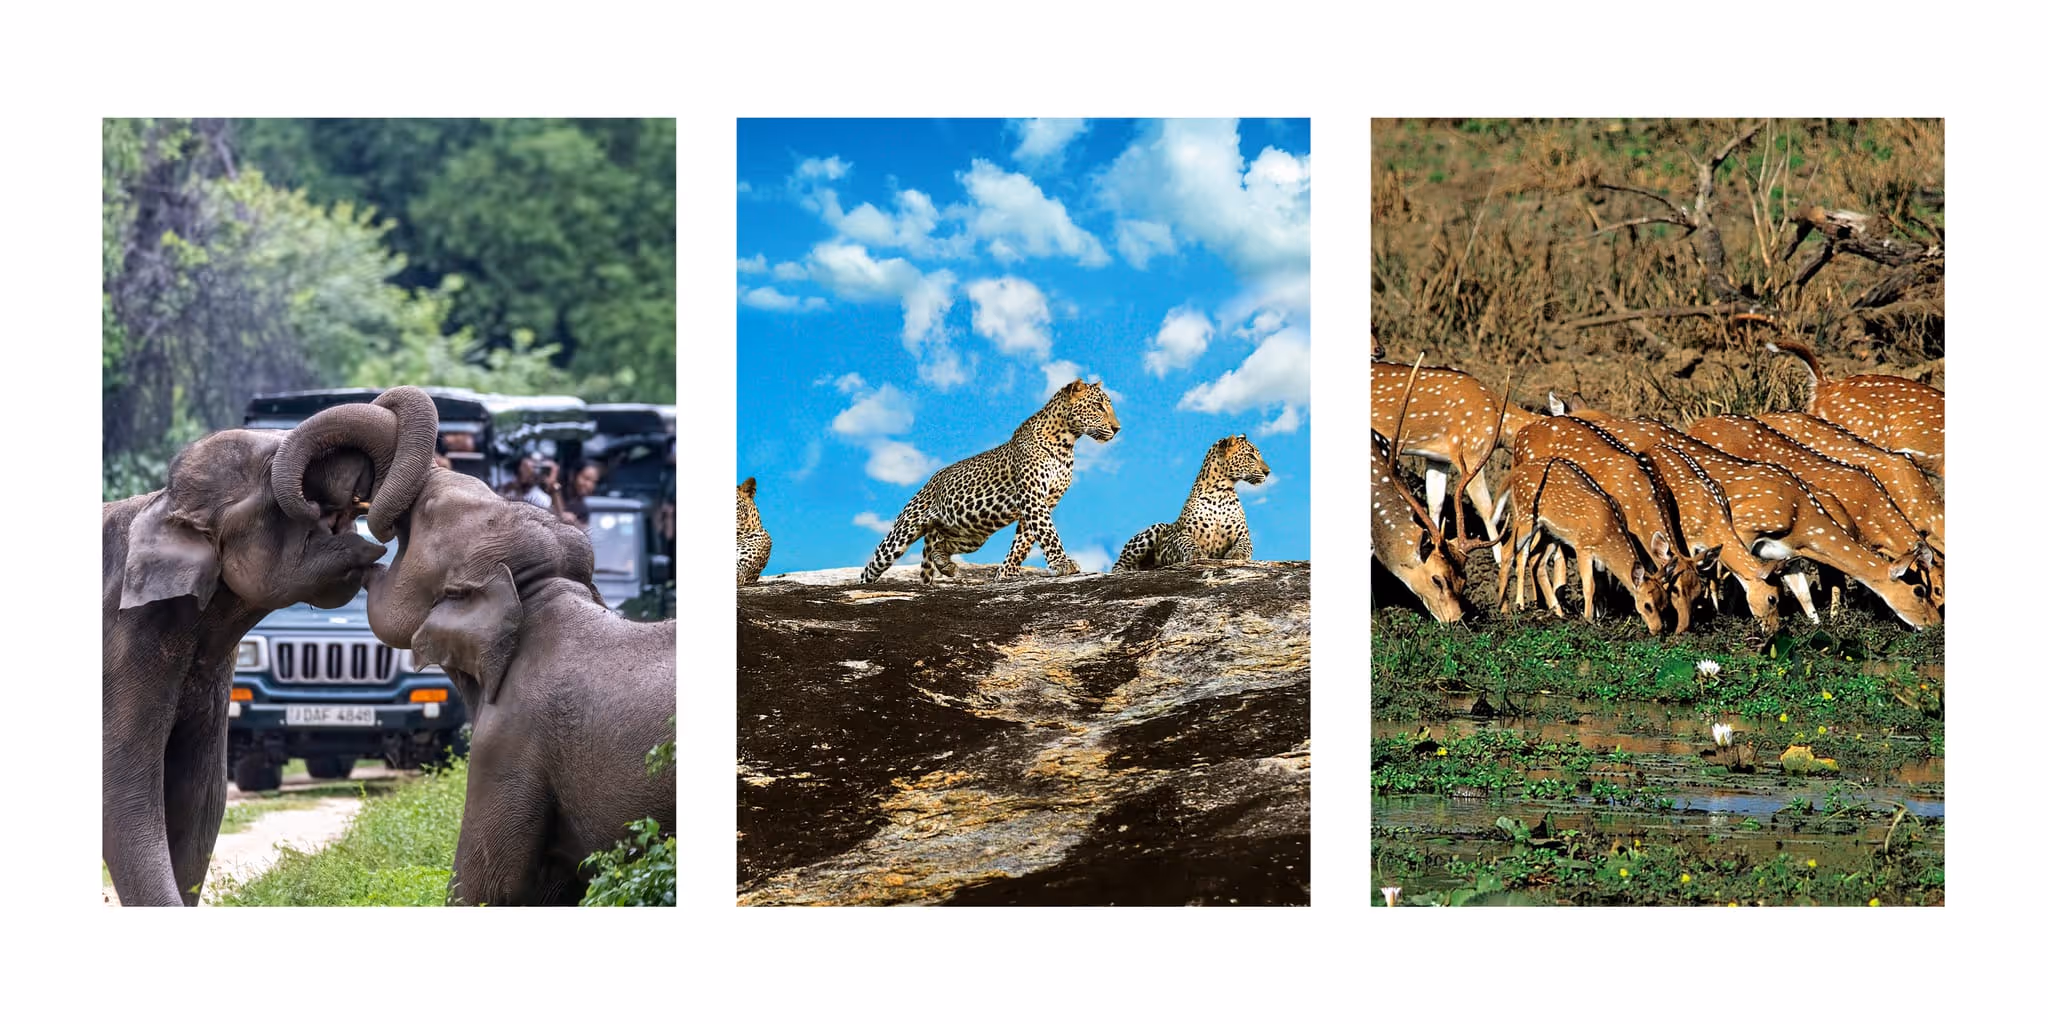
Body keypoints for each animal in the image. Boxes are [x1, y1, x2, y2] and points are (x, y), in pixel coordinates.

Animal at [860, 379, 1121, 584]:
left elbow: (1023, 542)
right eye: (1098, 406)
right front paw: (1062, 563)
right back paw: (864, 584)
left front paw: (1006, 573)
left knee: (938, 545)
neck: (1066, 444)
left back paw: (947, 566)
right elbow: (1047, 531)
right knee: (873, 565)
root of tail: (933, 479)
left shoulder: (1045, 500)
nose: (1117, 428)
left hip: (971, 534)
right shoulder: (1033, 496)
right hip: (904, 529)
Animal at [1113, 434, 1270, 571]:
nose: (1268, 472)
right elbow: (1188, 543)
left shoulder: (1243, 535)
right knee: (1119, 564)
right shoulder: (1182, 533)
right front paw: (1196, 553)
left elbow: (1244, 545)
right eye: (1251, 456)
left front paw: (1237, 554)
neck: (1220, 492)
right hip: (1155, 529)